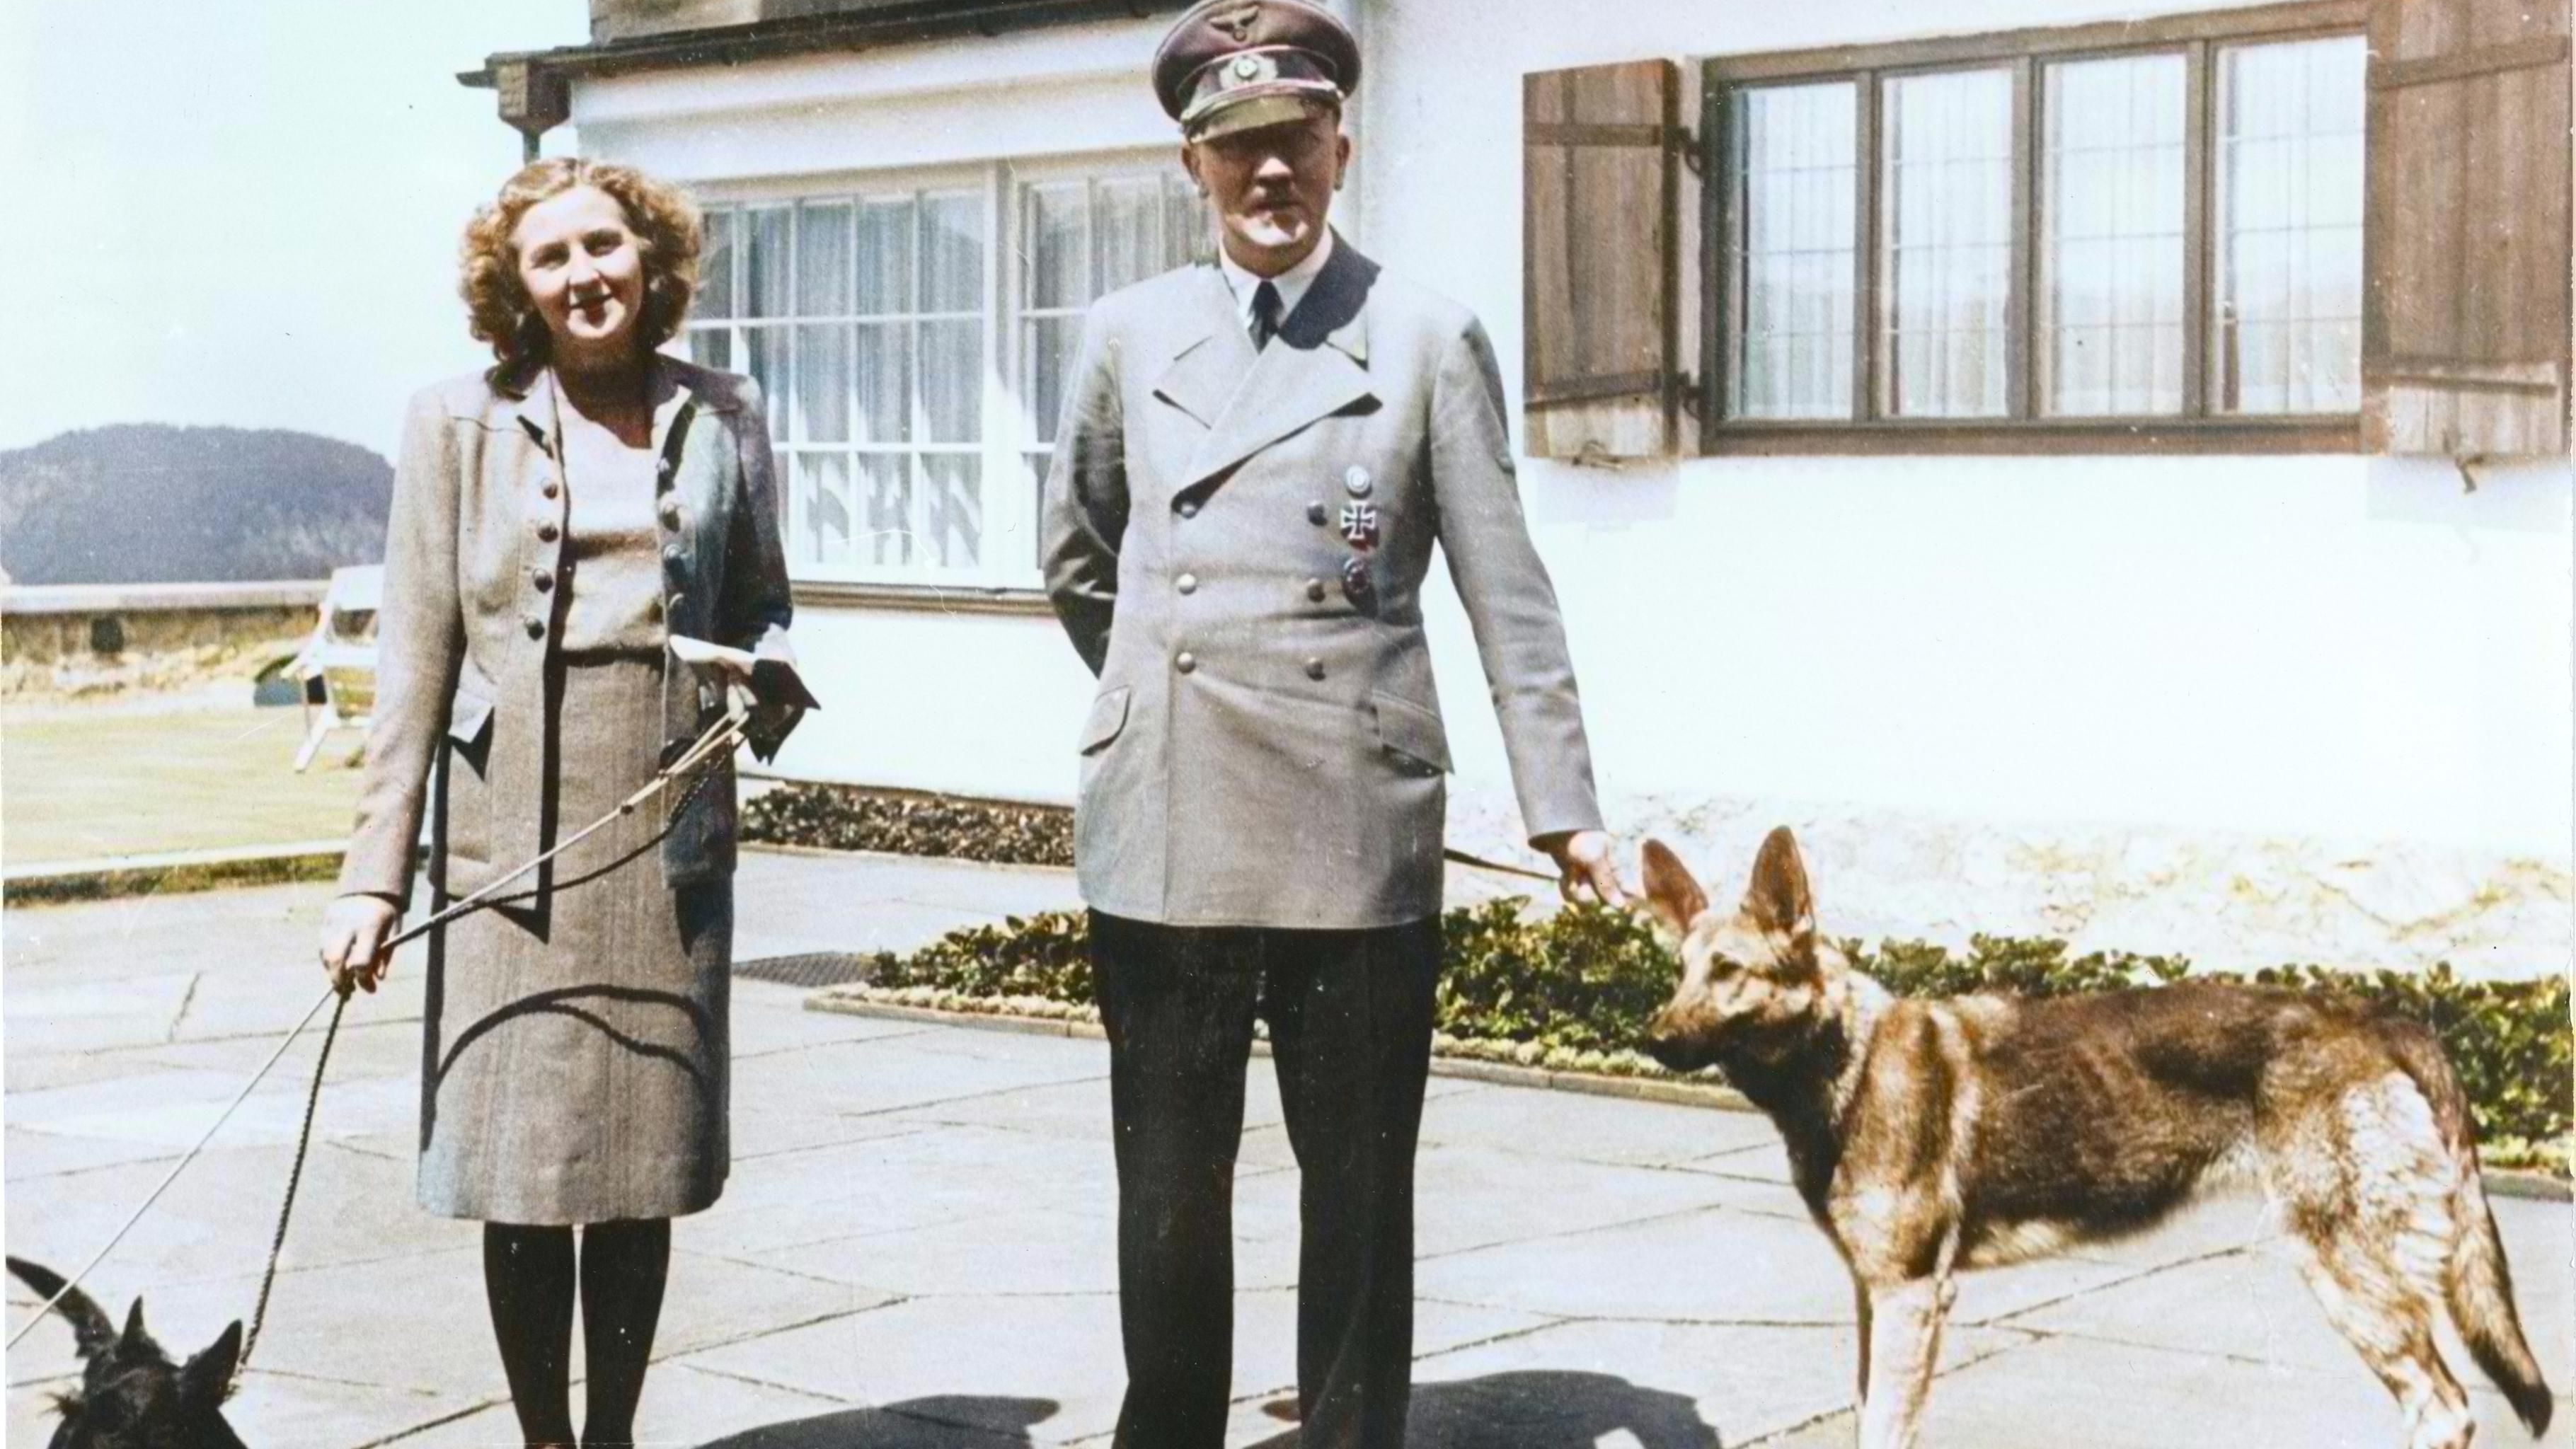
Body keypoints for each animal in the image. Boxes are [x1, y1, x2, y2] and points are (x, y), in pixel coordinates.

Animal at [1635, 828, 2554, 1449]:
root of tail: (2382, 1017)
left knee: (2443, 1406)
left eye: (1729, 971)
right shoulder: (1876, 1297)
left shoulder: (1908, 1297)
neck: (1845, 1057)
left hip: (2344, 1272)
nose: (1653, 1037)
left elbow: (1887, 1426)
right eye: (1679, 970)